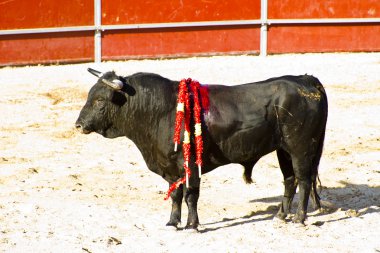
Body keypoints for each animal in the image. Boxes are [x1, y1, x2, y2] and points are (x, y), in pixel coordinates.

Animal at [75, 69, 328, 229]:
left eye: (99, 100)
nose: (78, 124)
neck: (159, 110)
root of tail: (306, 80)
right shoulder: (170, 167)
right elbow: (176, 194)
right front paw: (173, 222)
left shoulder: (188, 164)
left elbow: (190, 195)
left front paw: (192, 224)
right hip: (283, 150)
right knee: (290, 180)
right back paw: (280, 216)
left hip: (300, 148)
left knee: (304, 179)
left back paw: (299, 218)